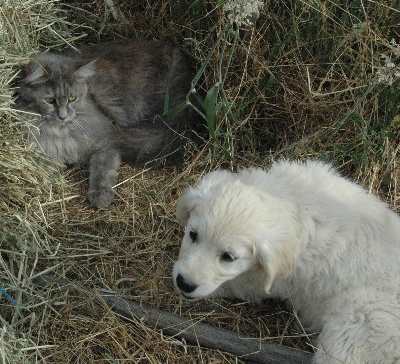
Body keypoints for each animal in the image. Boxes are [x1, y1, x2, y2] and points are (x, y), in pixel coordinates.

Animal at [14, 39, 196, 208]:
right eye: (50, 100)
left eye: (72, 98)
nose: (63, 116)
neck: (61, 132)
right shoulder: (49, 153)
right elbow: (44, 174)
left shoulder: (105, 142)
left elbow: (102, 170)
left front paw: (101, 196)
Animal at [173, 161, 400, 364]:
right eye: (192, 235)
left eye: (228, 257)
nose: (184, 283)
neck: (292, 202)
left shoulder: (261, 283)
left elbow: (231, 284)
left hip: (349, 335)